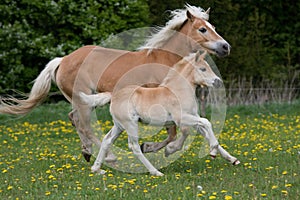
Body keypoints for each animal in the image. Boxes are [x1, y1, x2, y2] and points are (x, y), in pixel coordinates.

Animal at [0, 4, 230, 162]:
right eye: (202, 29)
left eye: (213, 26)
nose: (225, 47)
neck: (166, 60)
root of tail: (62, 60)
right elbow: (175, 133)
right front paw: (155, 148)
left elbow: (195, 128)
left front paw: (229, 158)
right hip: (83, 100)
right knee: (84, 124)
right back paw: (107, 156)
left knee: (75, 120)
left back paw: (88, 152)